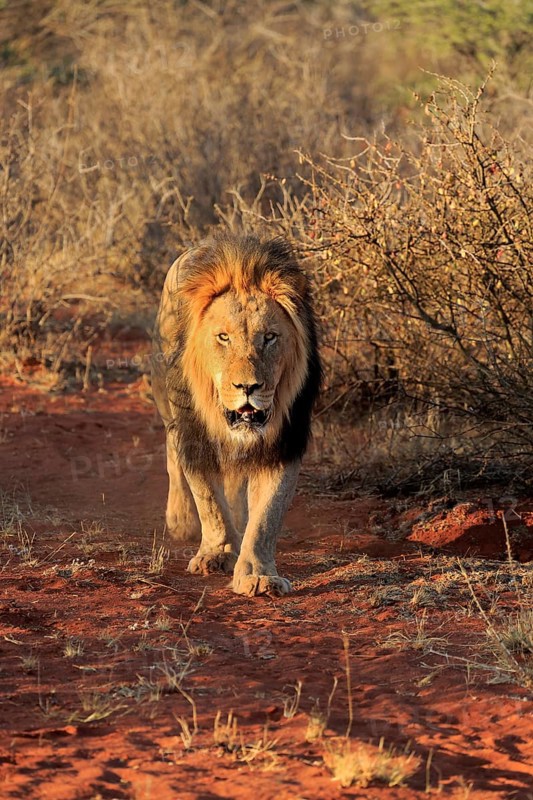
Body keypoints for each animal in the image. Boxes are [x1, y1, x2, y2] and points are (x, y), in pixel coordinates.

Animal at [151, 232, 321, 596]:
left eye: (269, 337)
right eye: (223, 337)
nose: (248, 386)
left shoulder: (285, 443)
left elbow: (267, 516)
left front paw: (257, 574)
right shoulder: (195, 435)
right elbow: (209, 500)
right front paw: (217, 554)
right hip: (164, 397)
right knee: (172, 450)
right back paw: (181, 520)